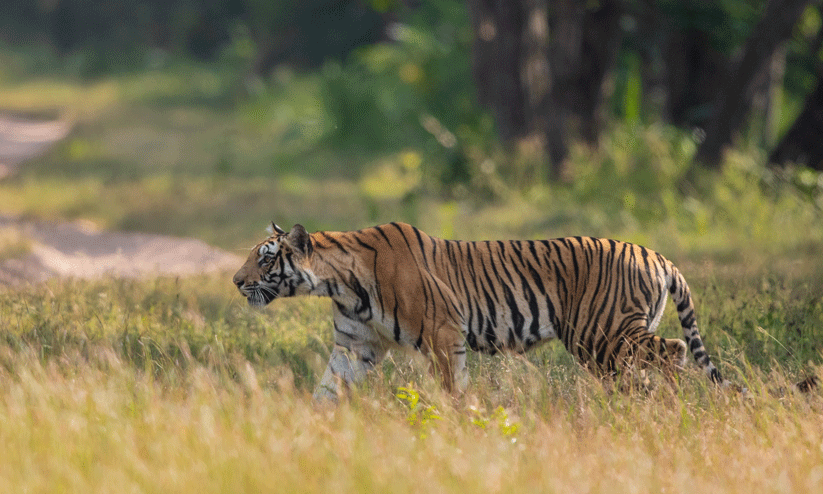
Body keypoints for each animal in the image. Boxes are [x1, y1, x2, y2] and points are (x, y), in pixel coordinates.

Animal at [232, 222, 723, 399]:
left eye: (265, 259)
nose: (235, 281)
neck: (339, 283)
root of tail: (659, 256)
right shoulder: (355, 346)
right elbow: (326, 389)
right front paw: (308, 430)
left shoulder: (442, 334)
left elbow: (453, 388)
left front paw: (457, 425)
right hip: (604, 347)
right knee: (644, 371)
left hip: (604, 334)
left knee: (674, 351)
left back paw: (666, 408)